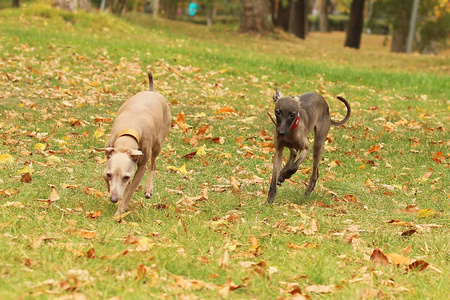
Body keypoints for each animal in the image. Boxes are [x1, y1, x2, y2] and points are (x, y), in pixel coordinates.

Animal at [95, 72, 171, 216]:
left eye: (126, 176)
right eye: (109, 174)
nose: (114, 199)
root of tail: (152, 91)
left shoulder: (141, 167)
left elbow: (130, 192)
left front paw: (120, 212)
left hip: (158, 144)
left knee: (153, 164)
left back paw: (148, 190)